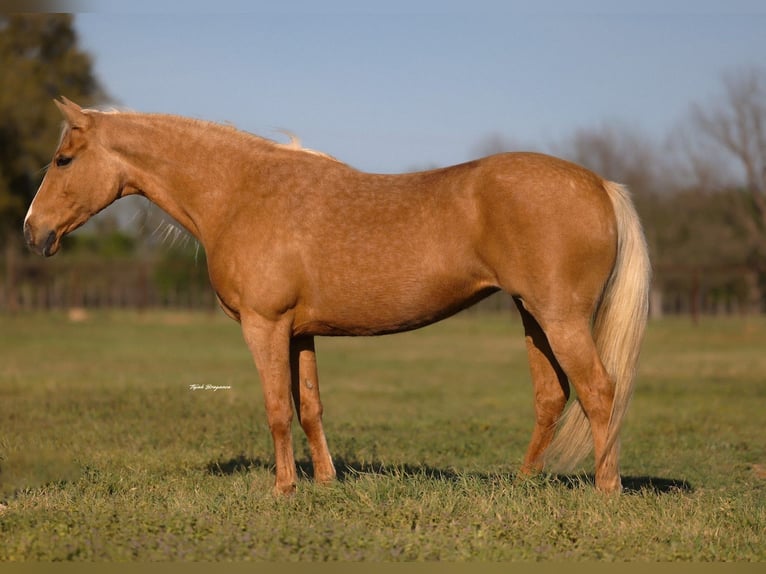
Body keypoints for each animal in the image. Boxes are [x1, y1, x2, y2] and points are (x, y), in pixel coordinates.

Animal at [24, 97, 650, 495]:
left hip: (560, 318)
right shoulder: (300, 332)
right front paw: (323, 482)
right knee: (552, 396)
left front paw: (283, 490)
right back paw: (522, 484)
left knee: (599, 392)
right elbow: (310, 407)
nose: (33, 232)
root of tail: (600, 185)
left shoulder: (265, 325)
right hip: (533, 317)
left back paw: (606, 491)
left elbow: (277, 409)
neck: (242, 191)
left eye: (63, 160)